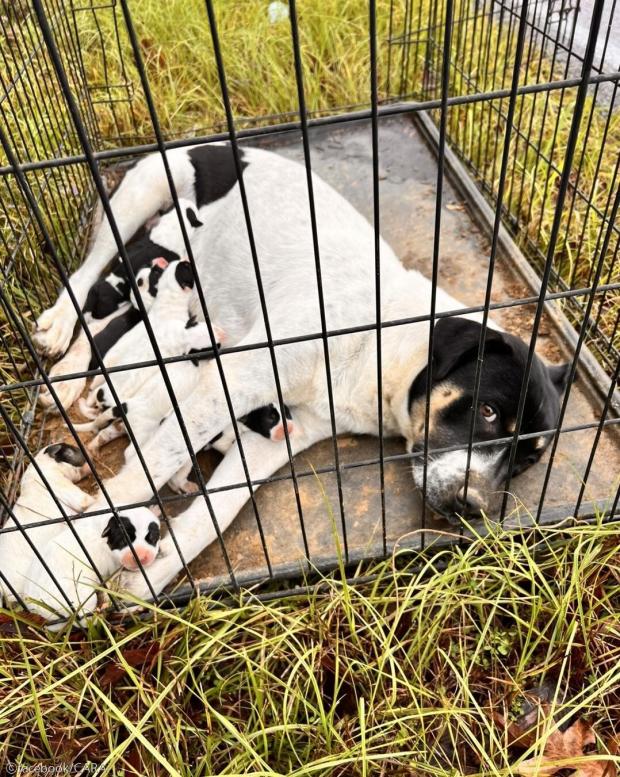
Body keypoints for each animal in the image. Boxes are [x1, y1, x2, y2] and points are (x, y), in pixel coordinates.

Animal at [22, 504, 160, 624]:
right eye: (122, 542)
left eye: (152, 538)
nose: (141, 557)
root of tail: (38, 608)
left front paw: (155, 509)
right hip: (79, 600)